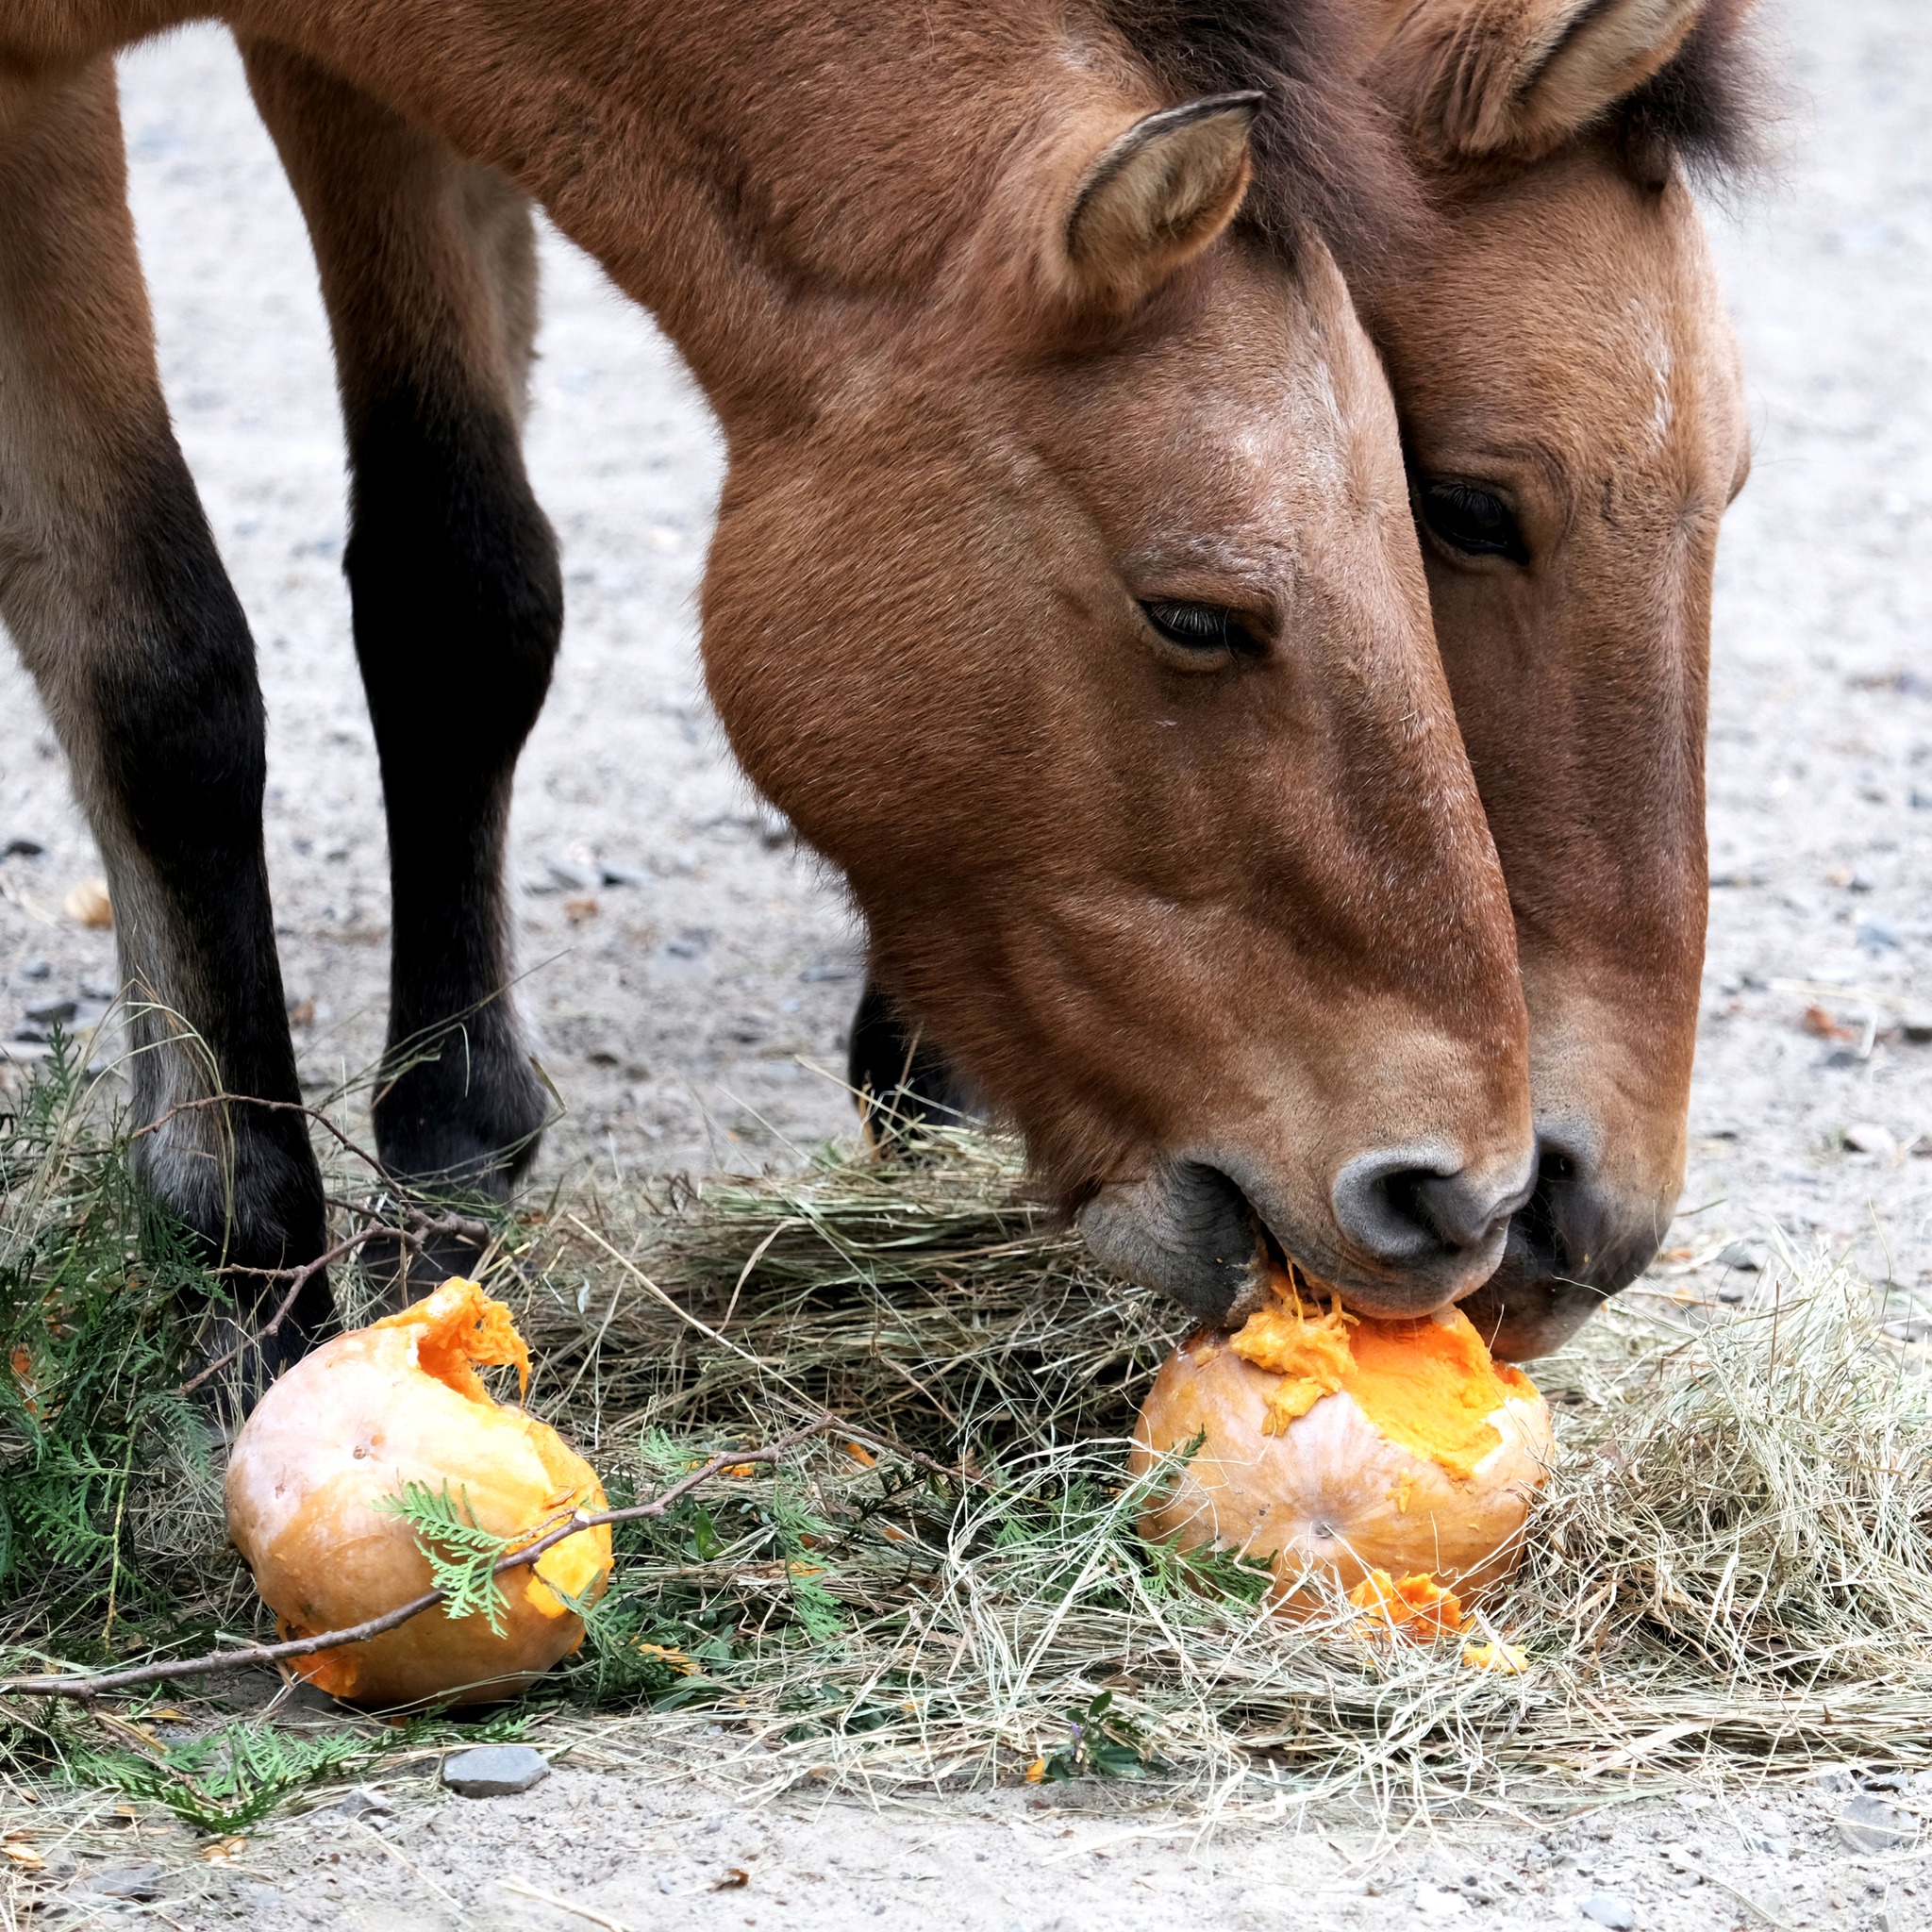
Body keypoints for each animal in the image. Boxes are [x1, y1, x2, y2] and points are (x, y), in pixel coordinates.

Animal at [0, 0, 1538, 1367]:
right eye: (1194, 618)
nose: (1459, 1199)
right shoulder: (55, 98)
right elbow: (160, 678)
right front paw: (240, 1277)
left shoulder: (365, 79)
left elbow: (459, 591)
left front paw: (447, 1144)